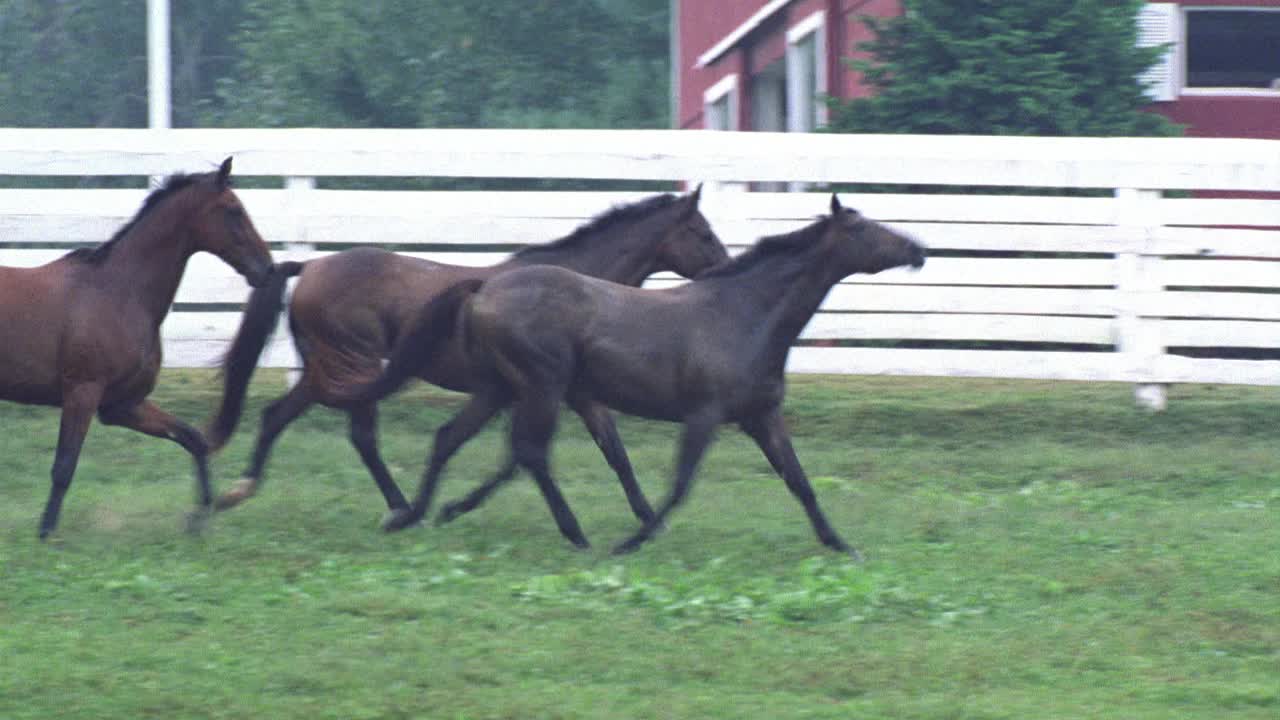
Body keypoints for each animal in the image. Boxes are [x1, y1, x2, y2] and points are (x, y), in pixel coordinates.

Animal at [1, 158, 272, 538]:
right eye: (233, 210)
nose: (267, 268)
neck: (119, 293)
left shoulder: (121, 405)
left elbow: (193, 438)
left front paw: (201, 516)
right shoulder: (83, 392)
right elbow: (64, 467)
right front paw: (45, 534)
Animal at [209, 184, 732, 512]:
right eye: (704, 233)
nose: (727, 268)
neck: (577, 288)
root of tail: (309, 268)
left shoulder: (564, 392)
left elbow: (610, 449)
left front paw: (644, 516)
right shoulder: (550, 390)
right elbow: (528, 453)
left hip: (332, 372)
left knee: (281, 417)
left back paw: (240, 492)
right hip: (353, 366)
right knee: (352, 434)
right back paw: (396, 506)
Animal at [355, 194, 926, 556]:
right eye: (863, 228)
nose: (918, 251)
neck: (743, 314)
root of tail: (482, 288)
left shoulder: (761, 417)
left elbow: (801, 483)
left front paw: (842, 545)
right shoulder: (704, 416)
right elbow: (677, 486)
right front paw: (633, 539)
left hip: (502, 388)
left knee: (454, 438)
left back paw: (417, 513)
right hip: (542, 386)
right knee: (529, 452)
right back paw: (571, 533)